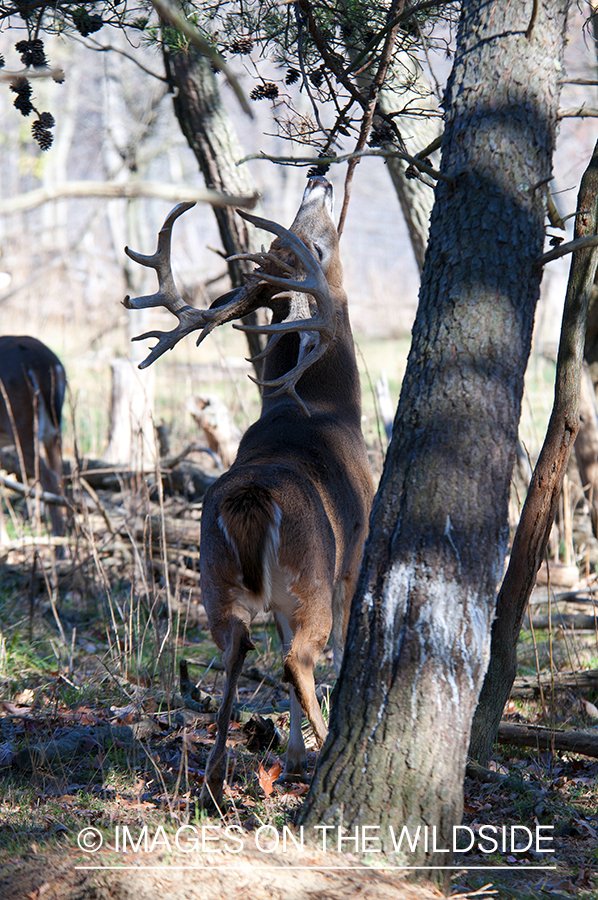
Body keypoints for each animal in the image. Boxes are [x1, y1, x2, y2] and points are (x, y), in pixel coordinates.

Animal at [123, 178, 376, 808]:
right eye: (316, 241)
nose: (319, 178)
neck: (322, 408)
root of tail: (253, 500)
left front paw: (290, 752)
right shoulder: (355, 553)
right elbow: (337, 652)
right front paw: (299, 752)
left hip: (215, 578)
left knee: (237, 649)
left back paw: (215, 777)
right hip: (311, 576)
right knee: (298, 657)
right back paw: (320, 752)